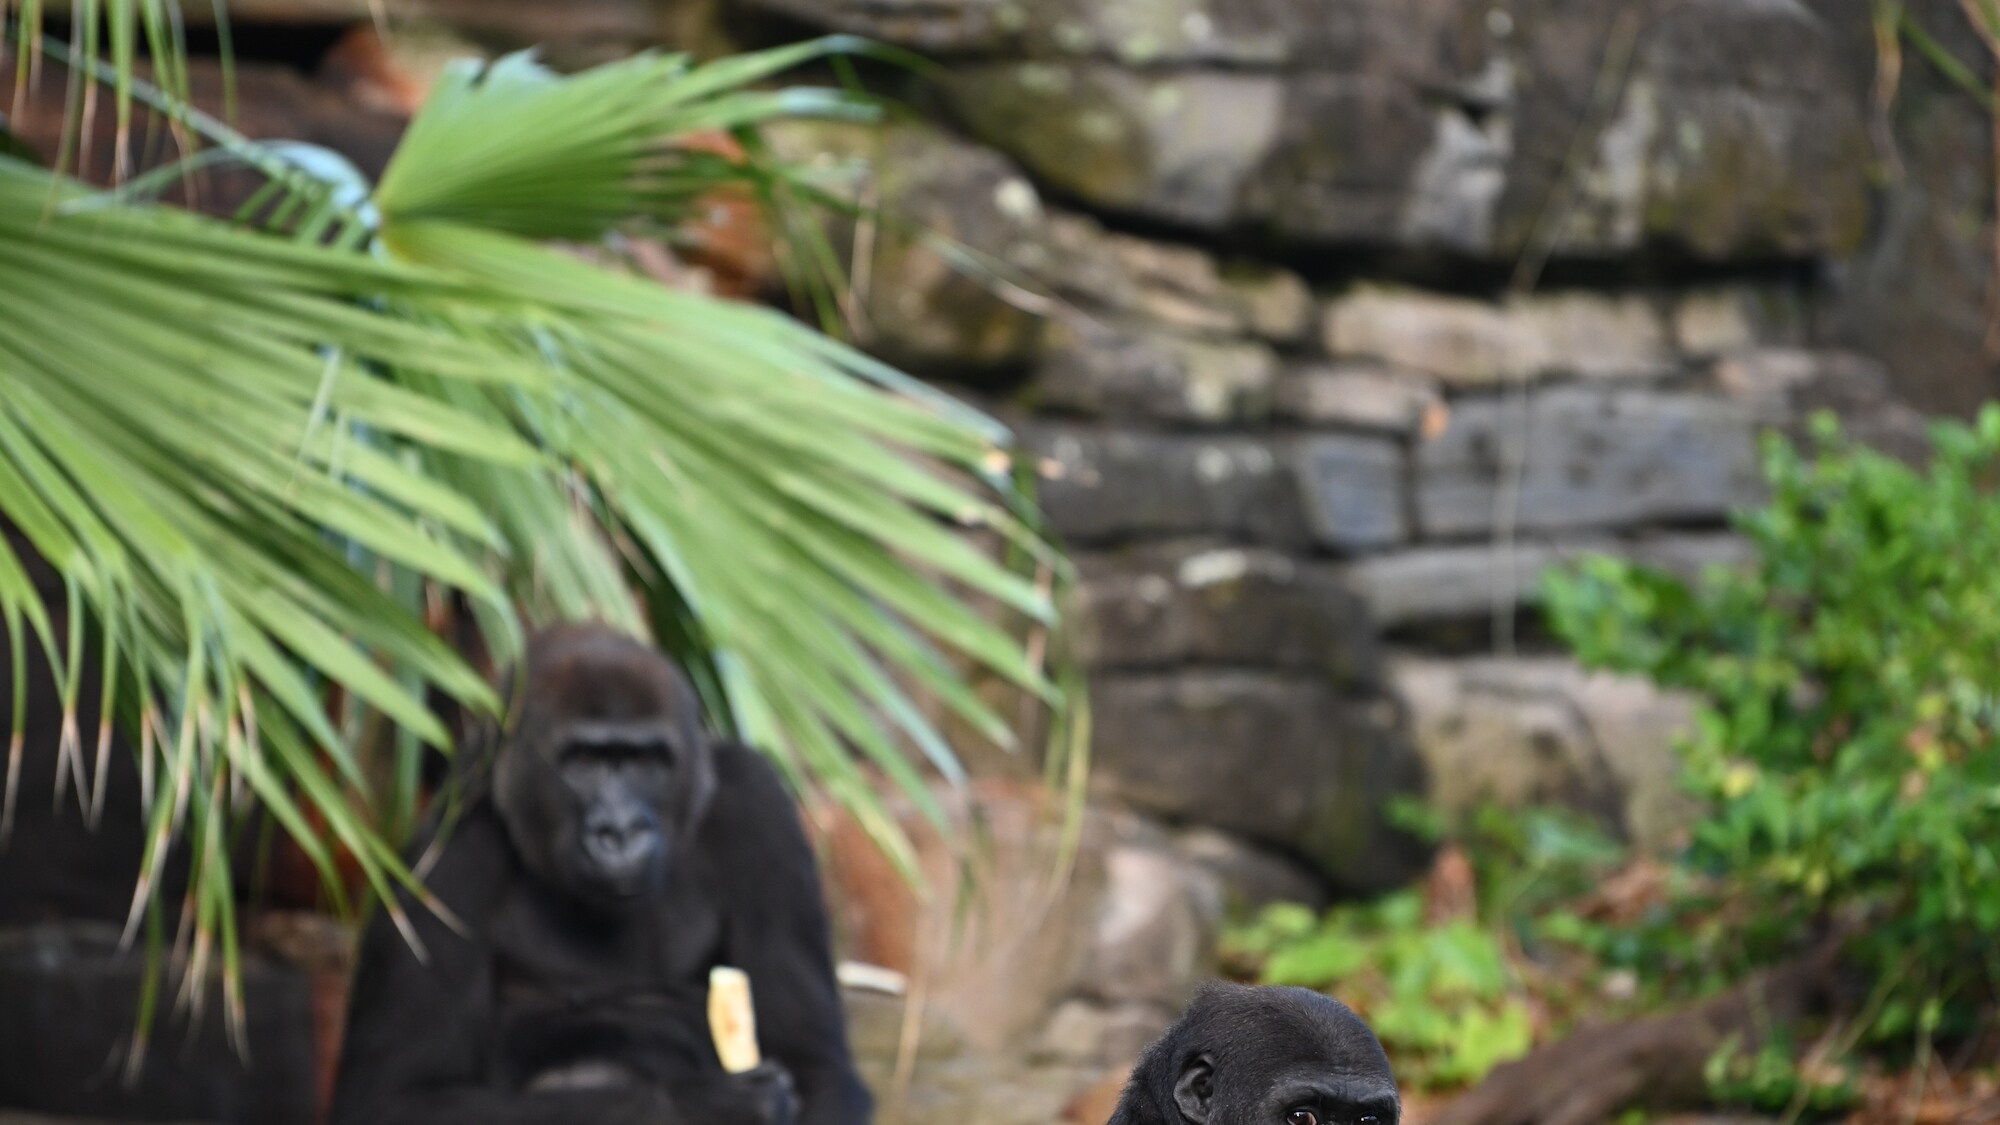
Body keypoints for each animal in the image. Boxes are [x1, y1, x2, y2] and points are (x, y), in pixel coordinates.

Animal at [332, 620, 872, 1120]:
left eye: (645, 760)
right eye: (584, 760)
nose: (620, 830)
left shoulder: (758, 803)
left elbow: (816, 1067)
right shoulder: (445, 859)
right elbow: (397, 1097)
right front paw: (708, 1104)